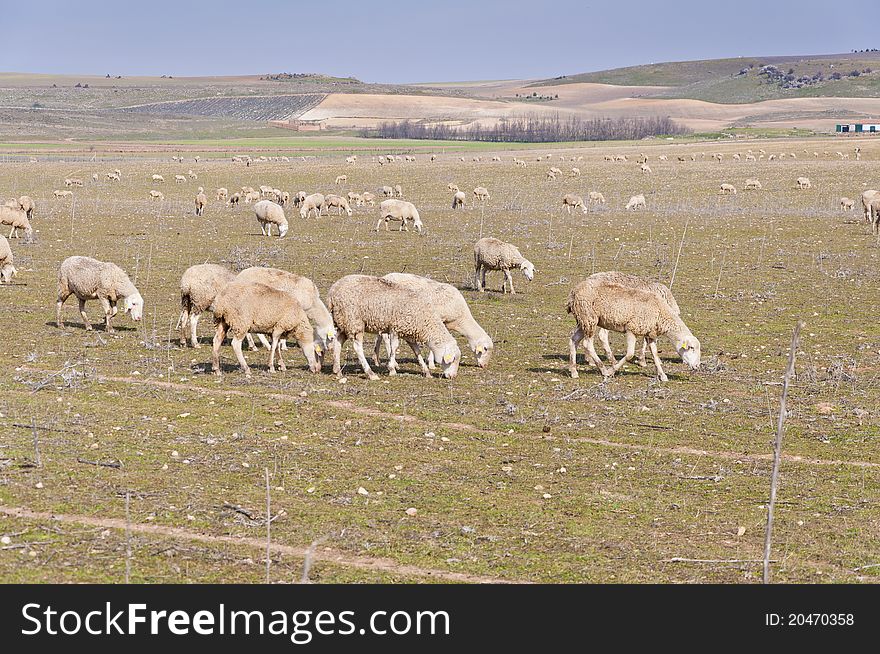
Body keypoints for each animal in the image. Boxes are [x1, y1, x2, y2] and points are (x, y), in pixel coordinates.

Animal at [326, 276, 464, 380]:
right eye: (453, 360)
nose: (453, 376)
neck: (424, 320)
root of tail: (332, 292)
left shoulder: (408, 332)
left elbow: (417, 351)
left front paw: (426, 371)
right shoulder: (395, 328)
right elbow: (394, 348)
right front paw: (392, 368)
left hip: (342, 321)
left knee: (338, 341)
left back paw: (337, 370)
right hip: (354, 321)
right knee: (357, 347)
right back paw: (370, 373)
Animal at [568, 278, 704, 384]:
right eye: (691, 348)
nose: (697, 366)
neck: (660, 312)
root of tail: (573, 293)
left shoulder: (650, 334)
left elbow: (655, 355)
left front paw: (663, 375)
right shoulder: (631, 329)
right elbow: (629, 354)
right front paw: (612, 370)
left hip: (583, 320)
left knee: (574, 340)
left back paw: (574, 371)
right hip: (589, 317)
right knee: (587, 344)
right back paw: (603, 370)